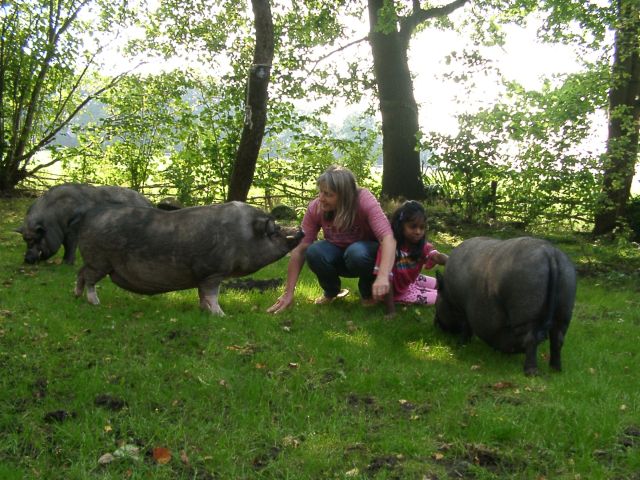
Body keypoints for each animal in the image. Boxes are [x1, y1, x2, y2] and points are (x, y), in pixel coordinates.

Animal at [15, 184, 151, 266]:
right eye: (25, 240)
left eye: (36, 238)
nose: (27, 259)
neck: (54, 218)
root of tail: (149, 203)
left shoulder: (74, 226)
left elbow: (70, 245)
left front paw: (66, 264)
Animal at [74, 202, 304, 316]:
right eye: (274, 231)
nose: (299, 229)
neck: (242, 235)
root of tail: (88, 215)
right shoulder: (214, 272)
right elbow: (212, 295)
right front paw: (221, 315)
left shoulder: (204, 276)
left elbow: (202, 294)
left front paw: (203, 311)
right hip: (100, 260)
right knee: (88, 278)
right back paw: (95, 302)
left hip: (95, 261)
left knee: (80, 273)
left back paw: (76, 296)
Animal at [436, 236, 576, 376]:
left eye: (437, 300)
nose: (436, 324)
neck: (447, 293)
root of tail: (550, 253)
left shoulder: (461, 308)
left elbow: (465, 327)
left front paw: (461, 345)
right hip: (565, 306)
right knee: (557, 339)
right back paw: (556, 369)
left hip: (526, 306)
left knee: (531, 338)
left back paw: (531, 372)